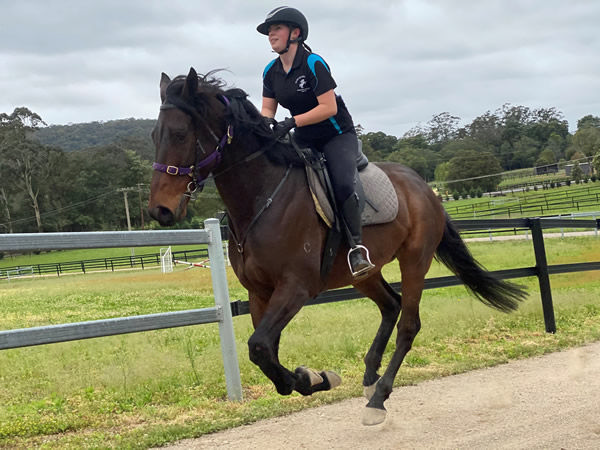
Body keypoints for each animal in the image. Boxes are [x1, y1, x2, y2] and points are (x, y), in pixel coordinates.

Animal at [148, 67, 528, 426]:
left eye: (180, 134)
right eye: (154, 136)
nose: (159, 210)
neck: (263, 198)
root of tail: (423, 187)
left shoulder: (296, 287)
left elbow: (260, 347)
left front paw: (315, 377)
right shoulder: (259, 294)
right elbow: (266, 354)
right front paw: (312, 378)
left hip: (414, 260)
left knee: (408, 325)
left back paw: (378, 399)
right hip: (364, 273)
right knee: (391, 305)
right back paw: (370, 377)